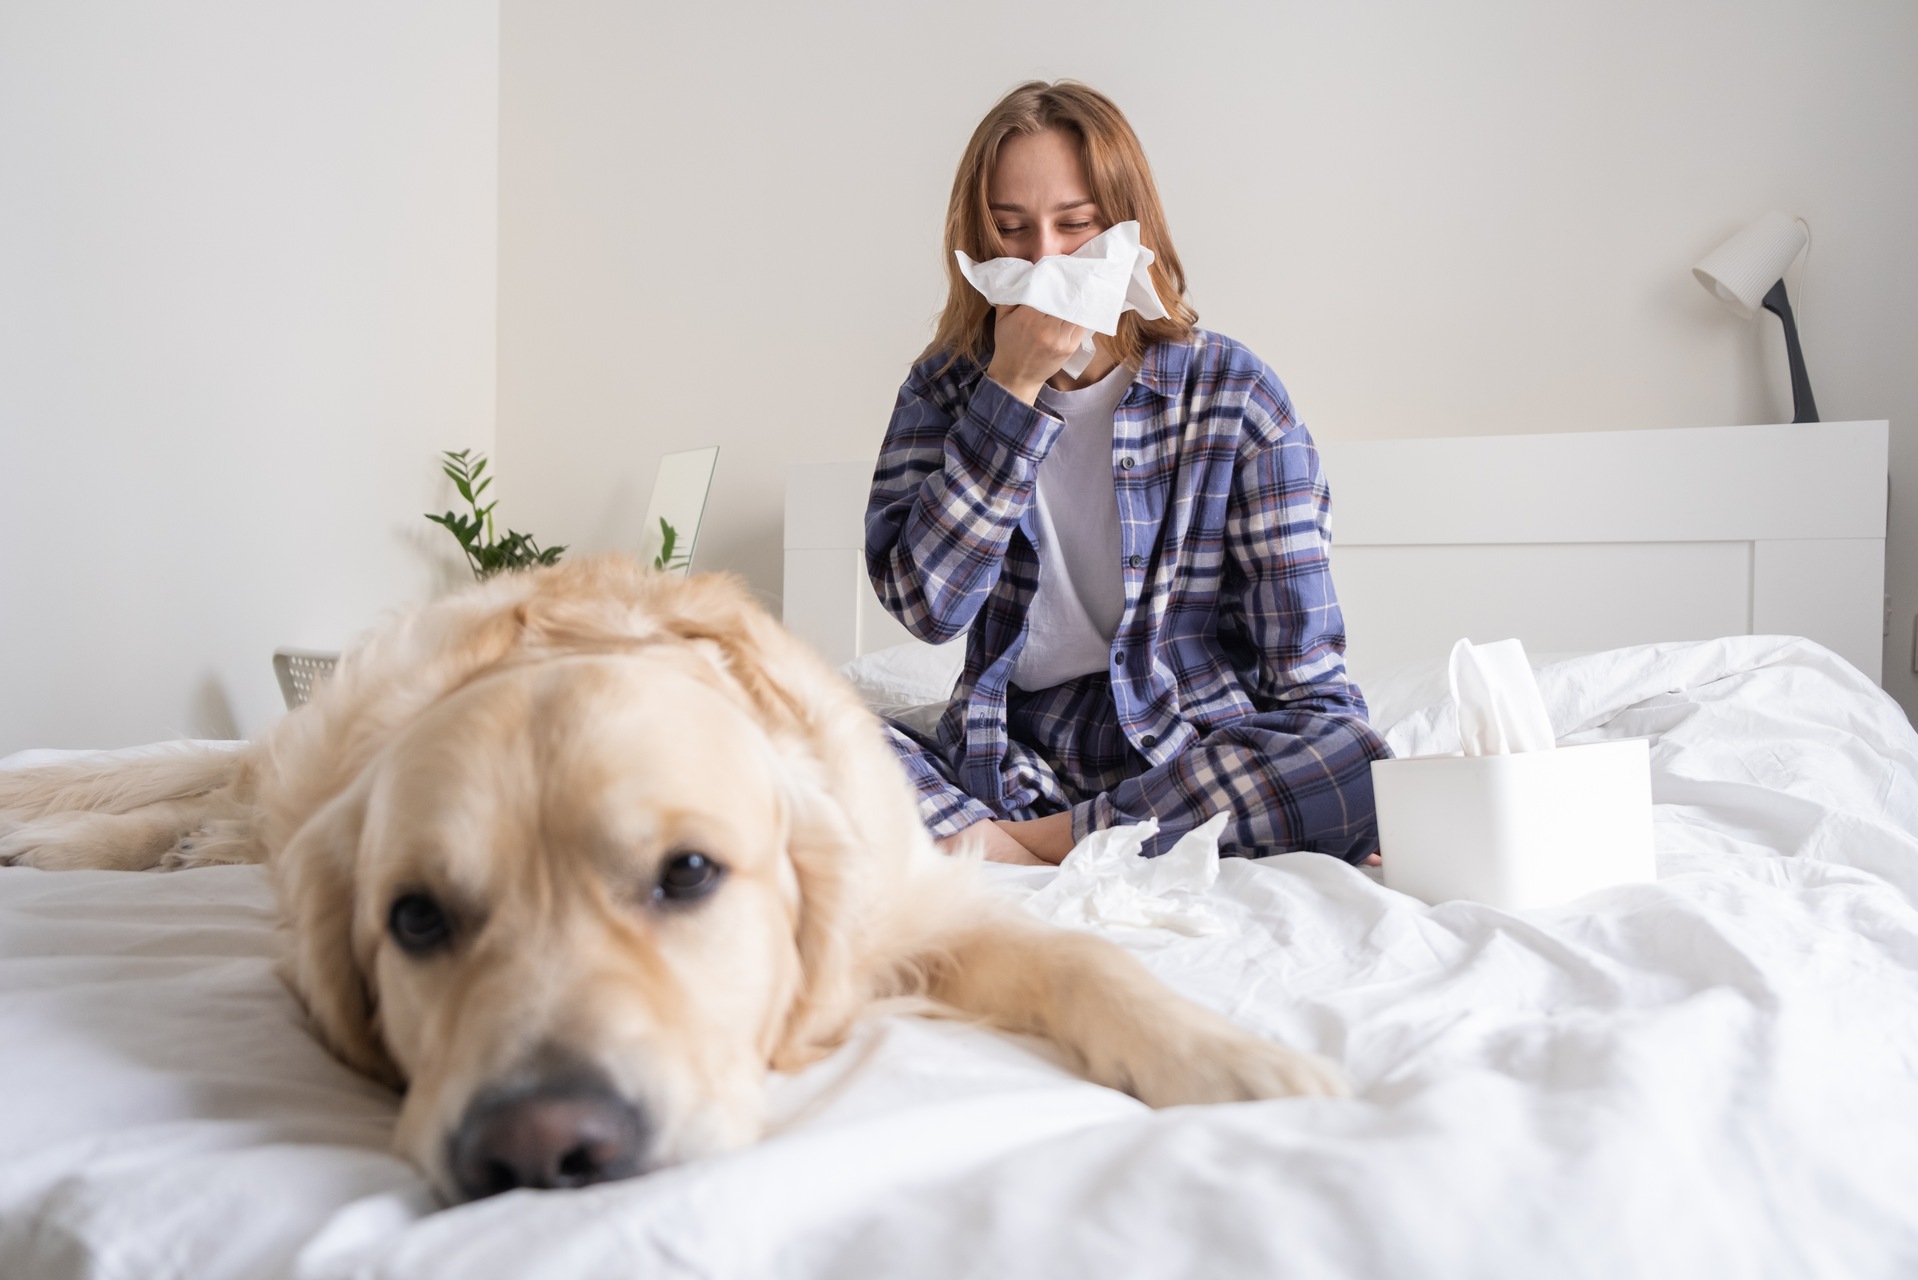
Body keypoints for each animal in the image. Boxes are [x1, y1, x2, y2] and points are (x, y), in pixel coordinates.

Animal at [0, 556, 1342, 1205]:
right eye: (414, 917)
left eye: (689, 874)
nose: (541, 1146)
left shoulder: (909, 902)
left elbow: (1082, 954)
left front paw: (1230, 1058)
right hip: (298, 772)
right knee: (204, 789)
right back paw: (75, 843)